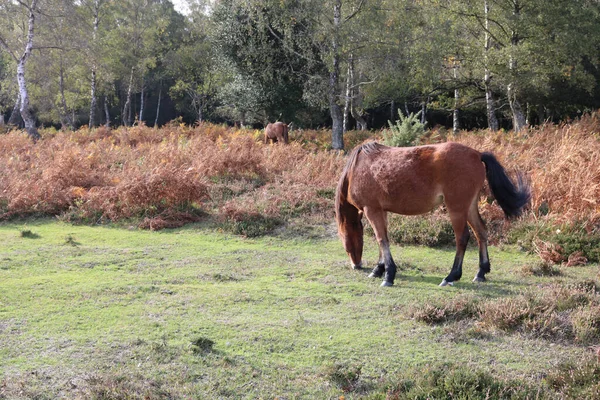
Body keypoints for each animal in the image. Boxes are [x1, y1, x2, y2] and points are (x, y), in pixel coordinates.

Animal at [336, 142, 532, 286]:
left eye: (345, 240)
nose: (356, 265)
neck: (357, 168)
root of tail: (477, 154)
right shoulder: (380, 211)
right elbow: (383, 240)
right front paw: (379, 269)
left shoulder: (372, 210)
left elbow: (381, 240)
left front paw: (388, 275)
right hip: (469, 207)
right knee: (481, 233)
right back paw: (481, 273)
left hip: (457, 208)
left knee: (462, 238)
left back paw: (451, 276)